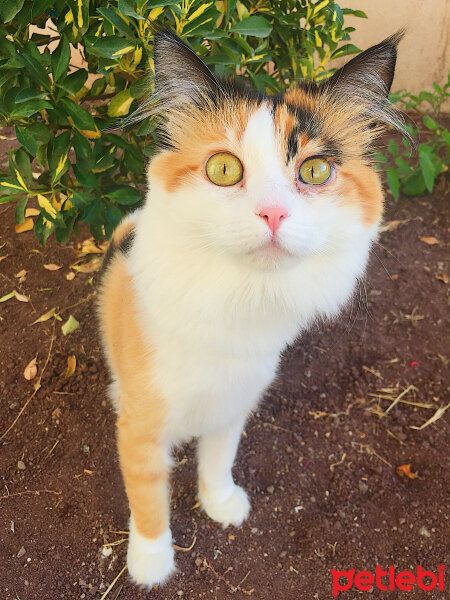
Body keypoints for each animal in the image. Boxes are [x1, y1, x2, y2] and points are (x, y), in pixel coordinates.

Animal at [97, 29, 404, 584]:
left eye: (315, 170)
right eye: (223, 169)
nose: (274, 213)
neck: (239, 297)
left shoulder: (234, 402)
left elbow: (219, 458)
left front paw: (220, 503)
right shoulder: (142, 428)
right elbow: (148, 494)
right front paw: (151, 561)